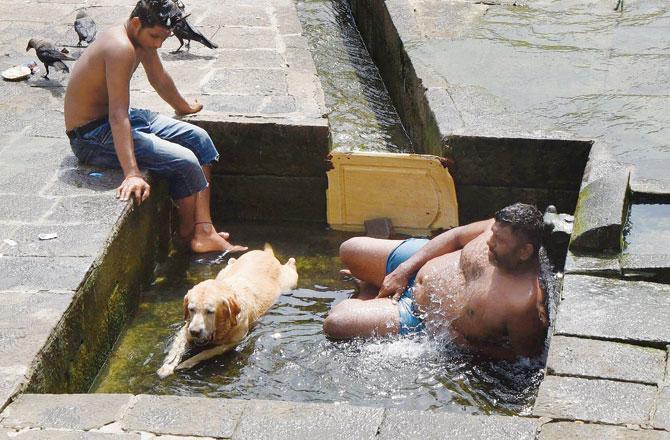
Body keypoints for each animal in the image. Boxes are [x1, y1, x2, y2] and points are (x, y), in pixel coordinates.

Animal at [159, 244, 298, 378]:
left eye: (210, 311)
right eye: (191, 309)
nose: (195, 332)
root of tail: (265, 254)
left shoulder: (233, 342)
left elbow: (206, 352)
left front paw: (186, 363)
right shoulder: (185, 330)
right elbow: (176, 349)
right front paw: (166, 367)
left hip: (289, 281)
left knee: (291, 264)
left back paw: (291, 261)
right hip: (225, 270)